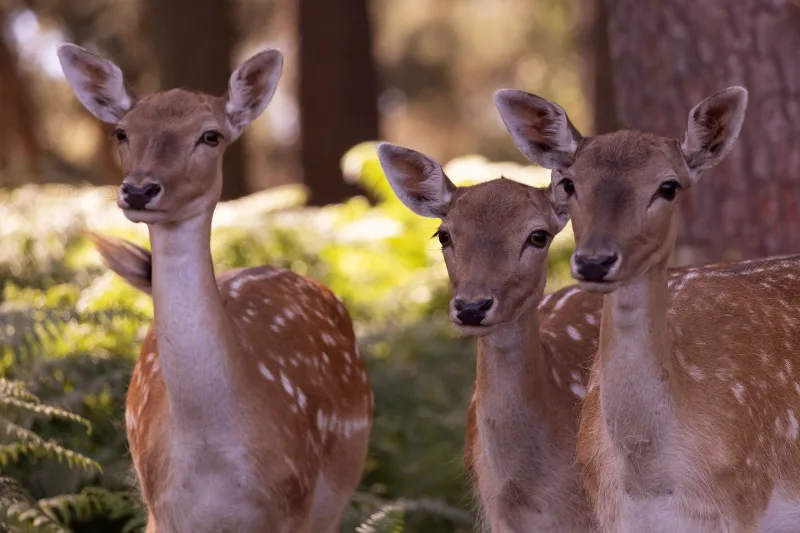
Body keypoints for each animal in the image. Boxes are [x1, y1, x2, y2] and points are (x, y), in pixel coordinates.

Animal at [57, 44, 373, 533]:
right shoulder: (160, 509)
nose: (139, 189)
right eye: (122, 132)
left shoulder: (293, 502)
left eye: (210, 136)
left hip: (336, 491)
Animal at [495, 86, 800, 532]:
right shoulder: (610, 514)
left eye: (668, 186)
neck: (648, 478)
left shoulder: (744, 507)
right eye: (569, 183)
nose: (594, 261)